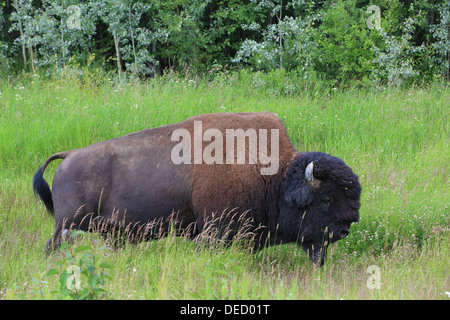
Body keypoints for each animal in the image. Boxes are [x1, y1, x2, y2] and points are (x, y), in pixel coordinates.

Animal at [33, 112, 360, 264]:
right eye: (326, 198)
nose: (345, 229)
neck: (275, 175)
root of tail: (68, 156)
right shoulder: (215, 230)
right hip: (68, 224)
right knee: (52, 247)